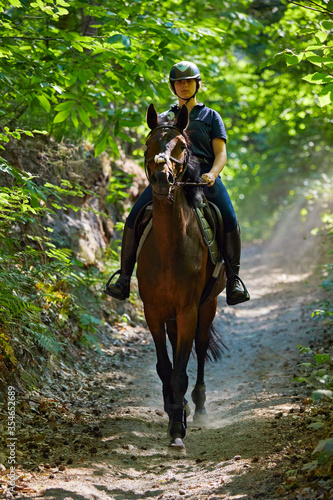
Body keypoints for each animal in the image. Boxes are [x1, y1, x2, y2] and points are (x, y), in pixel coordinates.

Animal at [136, 103, 226, 452]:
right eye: (148, 144)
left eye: (181, 146)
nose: (162, 178)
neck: (169, 246)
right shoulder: (153, 310)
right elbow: (166, 367)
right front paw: (173, 410)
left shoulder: (188, 310)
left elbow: (180, 371)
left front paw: (178, 428)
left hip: (207, 306)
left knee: (199, 351)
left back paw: (197, 406)